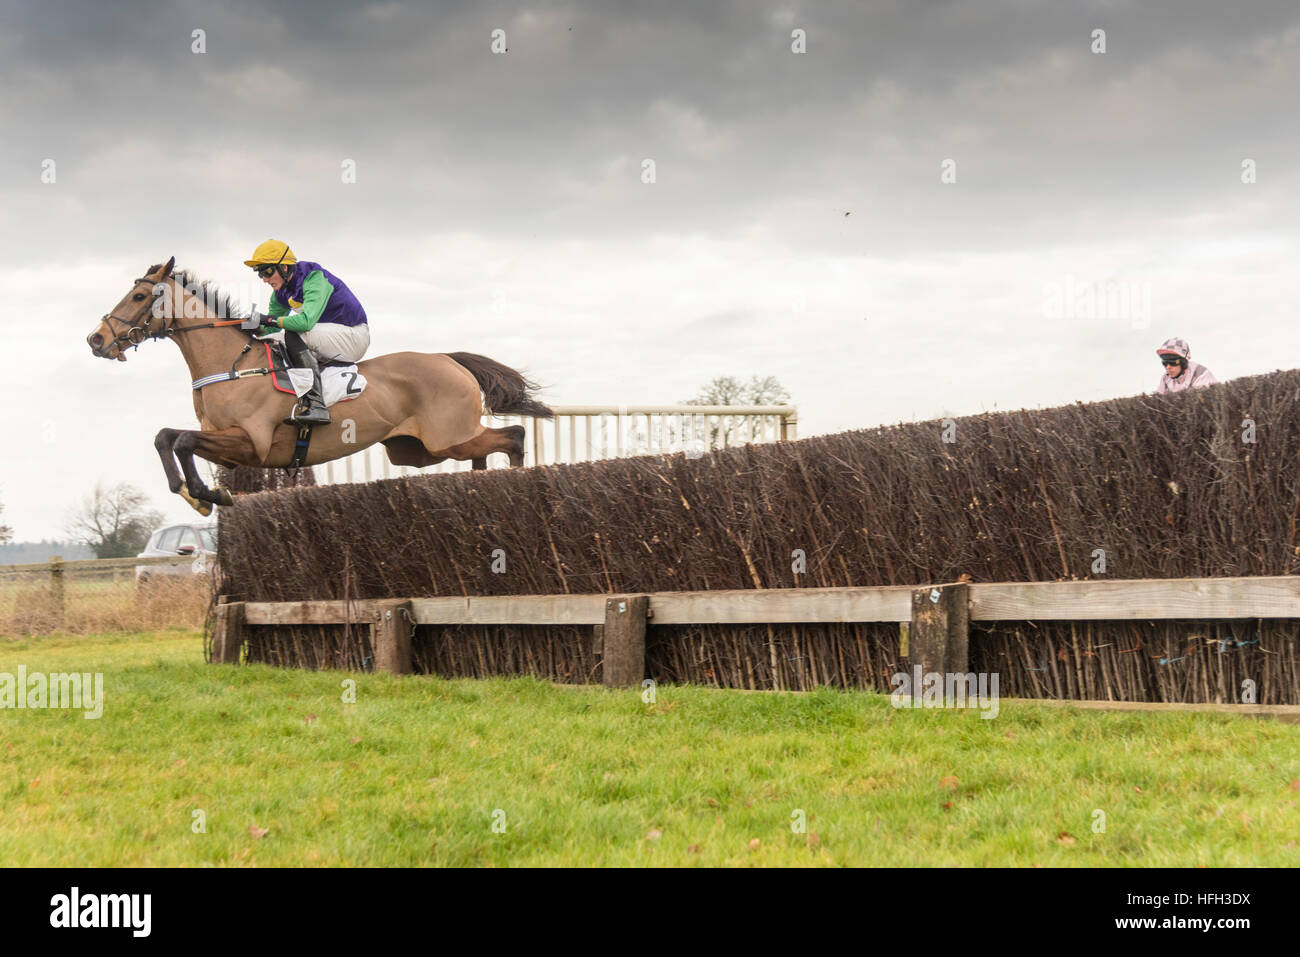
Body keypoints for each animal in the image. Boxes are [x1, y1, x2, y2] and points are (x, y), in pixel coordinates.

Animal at [86, 257, 553, 514]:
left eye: (139, 298)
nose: (96, 339)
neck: (232, 365)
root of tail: (448, 360)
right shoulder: (227, 445)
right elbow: (166, 437)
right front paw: (196, 496)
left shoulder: (250, 442)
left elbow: (181, 441)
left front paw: (210, 494)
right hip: (417, 451)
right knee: (485, 448)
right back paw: (480, 486)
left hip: (446, 437)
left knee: (513, 435)